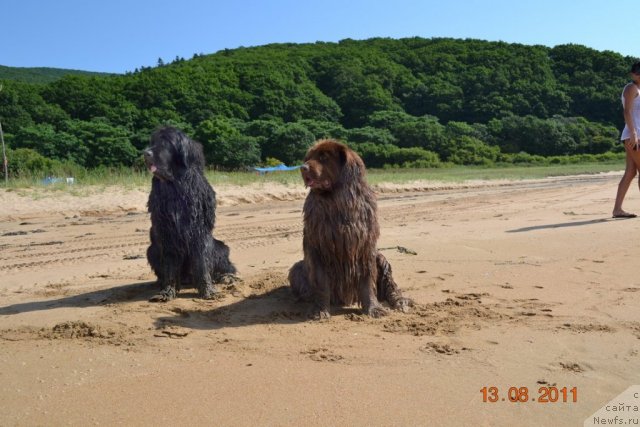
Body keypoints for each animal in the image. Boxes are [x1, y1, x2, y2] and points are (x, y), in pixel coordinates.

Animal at [144, 125, 236, 302]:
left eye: (166, 142)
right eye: (152, 141)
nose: (146, 153)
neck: (175, 186)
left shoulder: (199, 232)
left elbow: (202, 263)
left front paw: (208, 290)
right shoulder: (167, 234)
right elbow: (170, 266)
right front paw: (167, 291)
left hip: (220, 247)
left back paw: (226, 277)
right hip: (152, 250)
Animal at [288, 139, 410, 320]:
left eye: (324, 157)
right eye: (308, 157)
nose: (303, 168)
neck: (337, 202)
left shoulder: (365, 247)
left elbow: (367, 281)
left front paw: (374, 308)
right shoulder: (317, 247)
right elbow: (321, 282)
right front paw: (319, 310)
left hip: (381, 258)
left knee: (391, 286)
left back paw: (400, 301)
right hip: (297, 268)